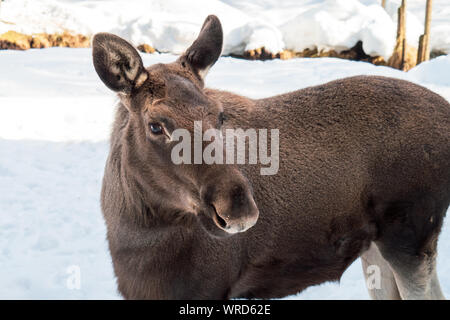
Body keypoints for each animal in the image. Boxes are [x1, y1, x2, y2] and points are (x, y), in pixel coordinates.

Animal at [93, 16, 448, 298]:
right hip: (376, 246)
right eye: (155, 125)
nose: (239, 209)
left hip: (410, 235)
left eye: (219, 115)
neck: (136, 239)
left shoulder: (210, 287)